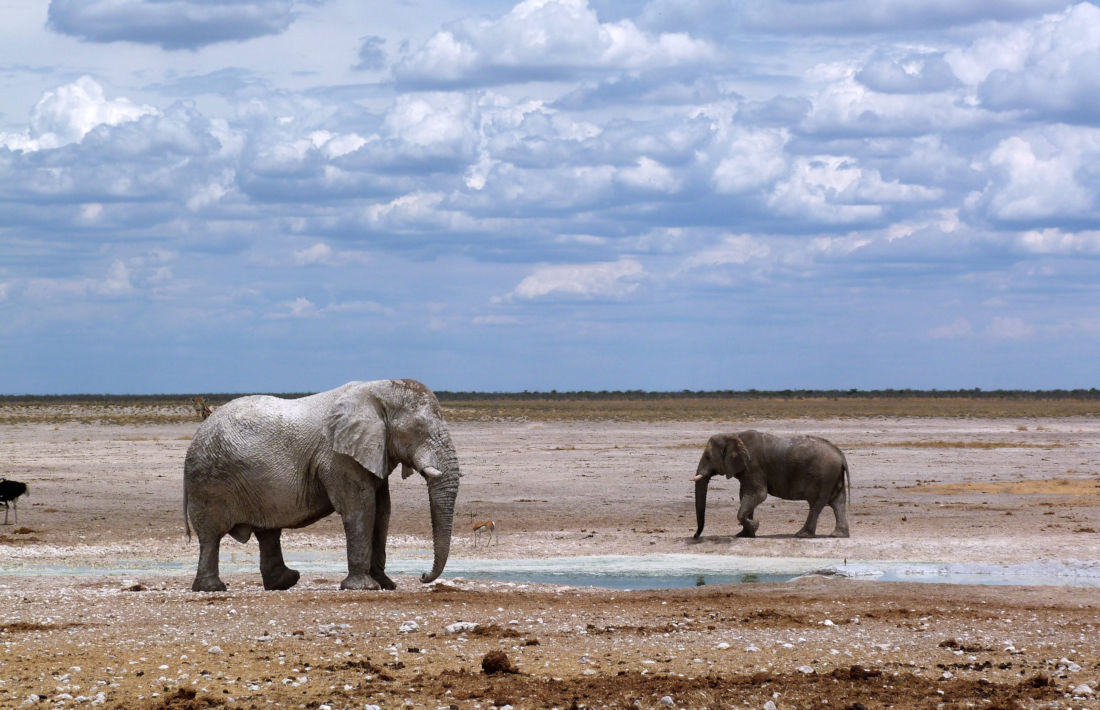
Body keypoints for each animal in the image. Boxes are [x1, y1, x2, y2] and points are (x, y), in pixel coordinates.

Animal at [184, 378, 459, 590]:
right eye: (419, 429)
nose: (422, 576)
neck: (377, 389)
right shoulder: (338, 457)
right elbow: (361, 508)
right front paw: (363, 587)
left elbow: (382, 511)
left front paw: (386, 584)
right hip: (210, 481)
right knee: (211, 536)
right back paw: (212, 588)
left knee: (267, 531)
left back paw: (284, 582)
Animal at [695, 429, 849, 539]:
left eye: (708, 457)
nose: (695, 536)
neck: (734, 435)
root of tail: (841, 455)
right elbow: (745, 495)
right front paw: (745, 535)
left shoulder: (753, 466)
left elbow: (758, 494)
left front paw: (755, 526)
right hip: (832, 476)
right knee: (838, 503)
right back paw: (838, 535)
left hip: (824, 475)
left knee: (816, 504)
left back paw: (802, 535)